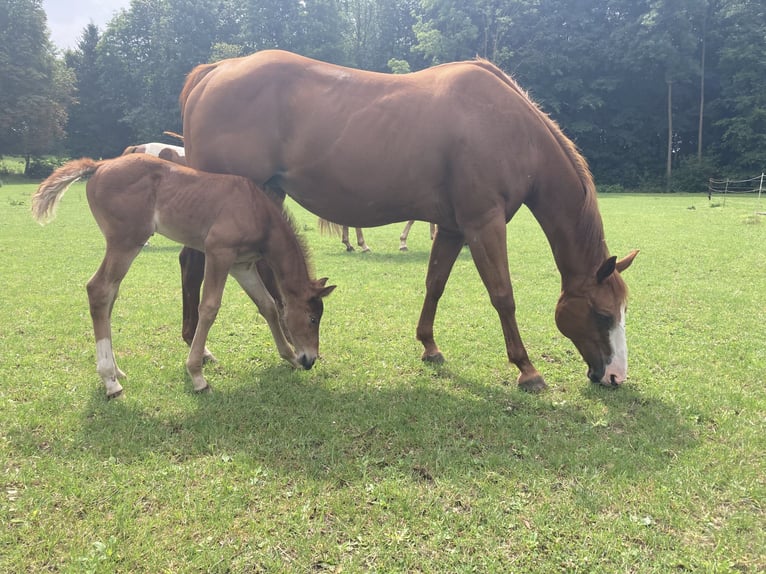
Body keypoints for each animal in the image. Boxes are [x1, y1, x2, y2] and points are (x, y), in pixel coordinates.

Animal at [31, 154, 335, 398]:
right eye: (312, 318)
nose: (310, 359)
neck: (257, 211)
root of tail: (100, 165)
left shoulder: (242, 266)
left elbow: (268, 306)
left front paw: (288, 356)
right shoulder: (219, 253)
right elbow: (209, 308)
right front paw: (197, 376)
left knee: (110, 295)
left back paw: (116, 372)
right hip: (126, 242)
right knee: (99, 289)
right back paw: (110, 381)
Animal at [179, 50, 638, 392]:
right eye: (602, 314)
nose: (615, 376)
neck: (507, 128)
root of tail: (215, 71)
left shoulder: (453, 228)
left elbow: (435, 283)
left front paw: (429, 346)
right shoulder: (483, 224)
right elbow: (502, 295)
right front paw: (527, 370)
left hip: (267, 195)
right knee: (193, 263)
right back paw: (200, 350)